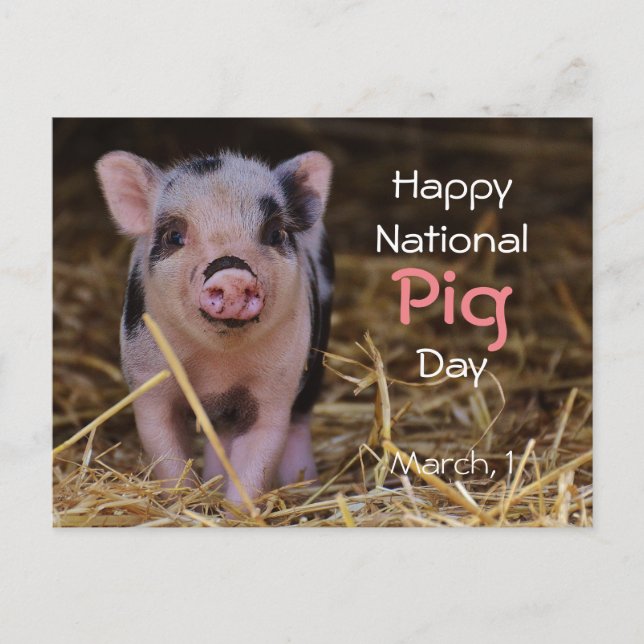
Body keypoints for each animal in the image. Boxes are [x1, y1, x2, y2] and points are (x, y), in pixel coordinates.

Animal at [95, 150, 334, 506]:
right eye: (174, 236)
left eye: (275, 234)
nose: (232, 274)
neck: (217, 368)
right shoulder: (148, 380)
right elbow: (166, 453)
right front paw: (184, 504)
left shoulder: (275, 388)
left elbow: (258, 457)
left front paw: (237, 512)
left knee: (299, 421)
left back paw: (305, 486)